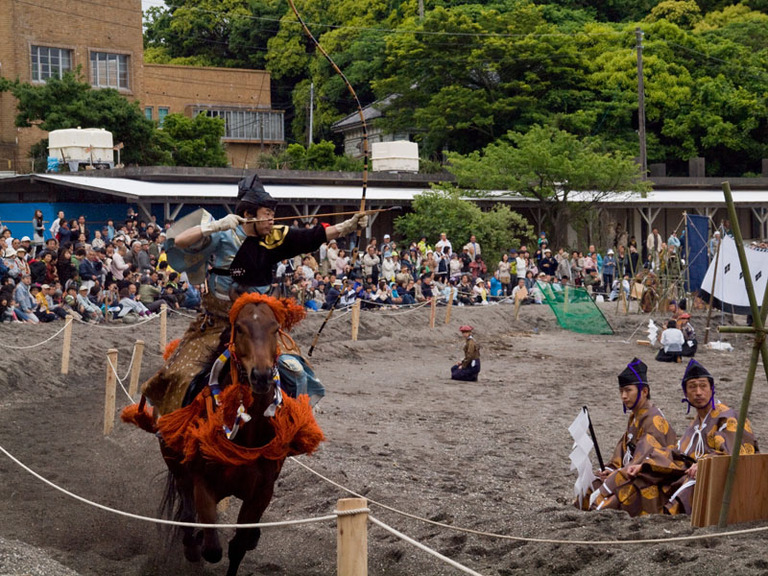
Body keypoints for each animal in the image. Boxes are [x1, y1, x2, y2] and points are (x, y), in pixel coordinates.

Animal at [124, 296, 322, 576]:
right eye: (239, 328)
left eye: (275, 329)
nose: (261, 376)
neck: (246, 432)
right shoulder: (202, 484)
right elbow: (212, 549)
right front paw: (195, 547)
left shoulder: (262, 492)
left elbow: (237, 546)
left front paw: (246, 541)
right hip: (177, 466)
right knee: (187, 512)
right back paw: (190, 543)